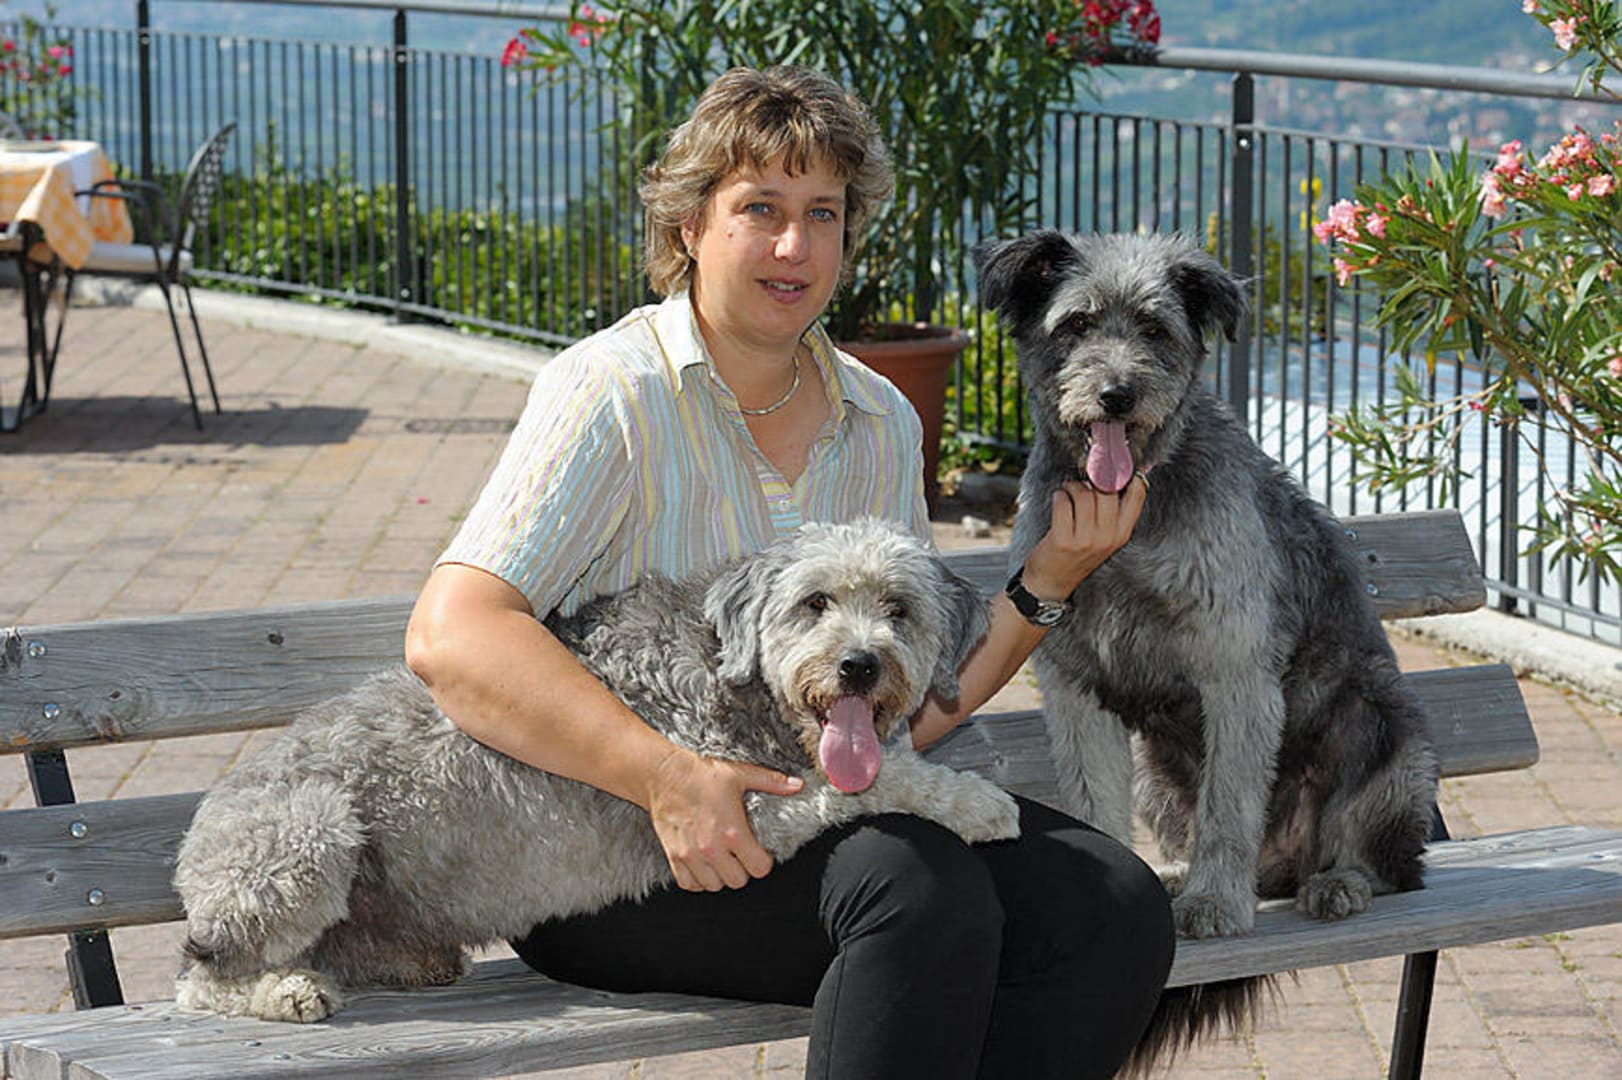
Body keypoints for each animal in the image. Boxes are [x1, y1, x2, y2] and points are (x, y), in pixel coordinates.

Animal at [172, 518, 1019, 1023]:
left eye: (900, 609)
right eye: (815, 602)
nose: (860, 666)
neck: (732, 673)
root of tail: (192, 849)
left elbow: (884, 766)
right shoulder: (741, 812)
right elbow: (875, 783)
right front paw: (979, 805)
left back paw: (409, 962)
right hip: (310, 837)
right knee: (201, 979)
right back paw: (287, 990)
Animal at [976, 230, 1439, 1057]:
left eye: (1155, 329)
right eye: (1076, 324)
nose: (1117, 396)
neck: (1129, 514)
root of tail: (1284, 865)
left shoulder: (1236, 672)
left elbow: (1230, 804)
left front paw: (1215, 902)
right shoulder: (1076, 687)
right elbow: (1094, 798)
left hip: (1386, 728)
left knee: (1388, 857)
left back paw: (1339, 881)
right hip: (1157, 778)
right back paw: (1176, 872)